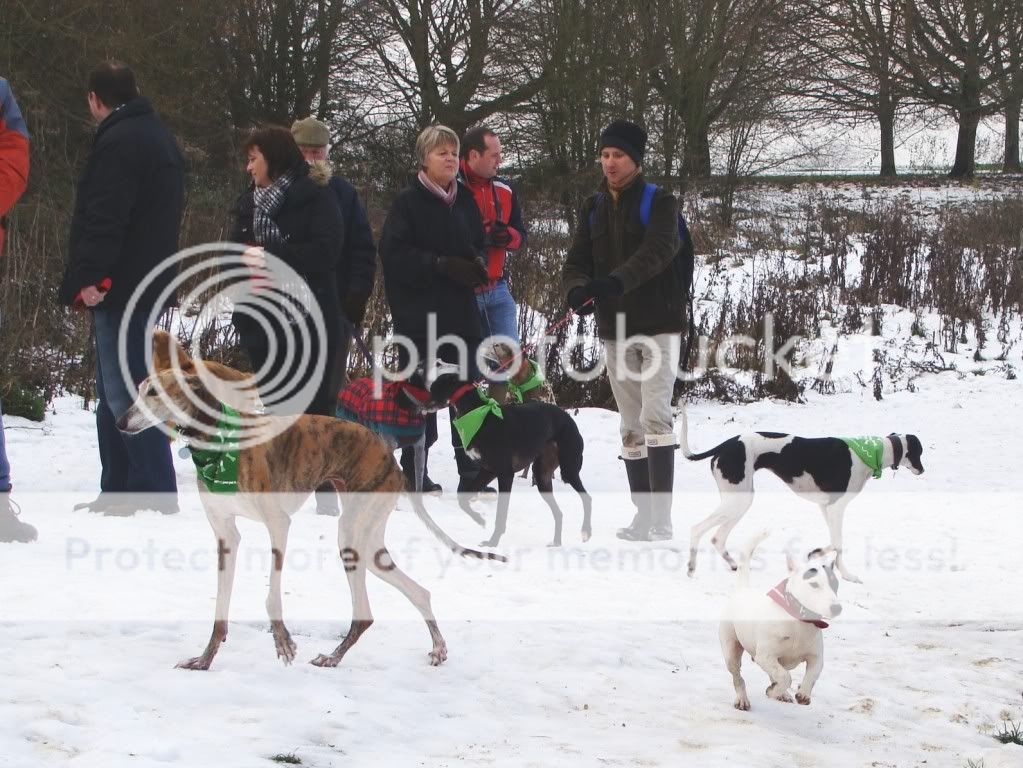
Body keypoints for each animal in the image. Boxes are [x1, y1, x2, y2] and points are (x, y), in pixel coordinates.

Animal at [429, 364, 593, 548]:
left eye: (436, 384)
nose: (419, 404)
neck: (480, 416)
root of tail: (569, 420)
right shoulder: (488, 470)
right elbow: (462, 499)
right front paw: (479, 520)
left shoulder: (505, 474)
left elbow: (501, 513)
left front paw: (493, 542)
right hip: (542, 476)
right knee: (559, 512)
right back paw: (557, 541)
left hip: (568, 470)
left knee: (587, 499)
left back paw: (586, 532)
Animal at [683, 409, 924, 580]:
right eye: (920, 452)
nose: (923, 470)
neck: (874, 452)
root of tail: (725, 445)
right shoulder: (837, 507)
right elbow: (838, 544)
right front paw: (844, 573)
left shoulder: (826, 506)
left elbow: (833, 541)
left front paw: (819, 555)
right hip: (737, 501)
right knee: (696, 529)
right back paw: (691, 567)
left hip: (740, 501)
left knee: (717, 537)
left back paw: (733, 563)